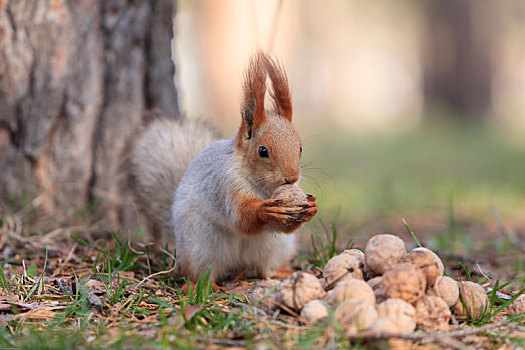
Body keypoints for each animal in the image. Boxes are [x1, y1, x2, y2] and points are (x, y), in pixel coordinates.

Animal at [124, 51, 318, 282]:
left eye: (300, 148)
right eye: (263, 151)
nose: (291, 178)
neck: (263, 187)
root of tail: (237, 266)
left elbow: (281, 225)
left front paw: (311, 208)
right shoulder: (225, 187)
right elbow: (242, 218)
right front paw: (264, 209)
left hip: (275, 246)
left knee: (263, 269)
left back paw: (280, 273)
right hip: (200, 244)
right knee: (199, 274)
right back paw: (206, 285)